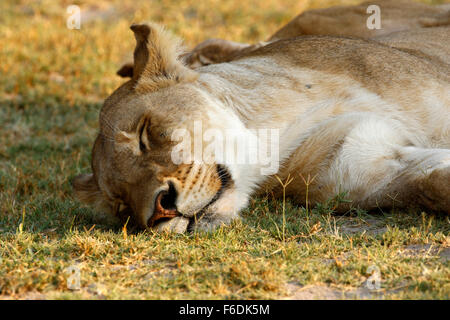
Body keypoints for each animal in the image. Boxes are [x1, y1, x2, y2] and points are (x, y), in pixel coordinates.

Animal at [72, 22, 448, 232]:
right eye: (122, 206)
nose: (158, 213)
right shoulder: (379, 169)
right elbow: (433, 185)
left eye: (144, 134)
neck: (273, 132)